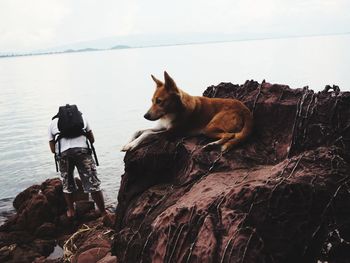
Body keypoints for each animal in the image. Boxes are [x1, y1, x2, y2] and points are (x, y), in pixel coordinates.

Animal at [121, 72, 253, 153]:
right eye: (152, 101)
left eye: (159, 101)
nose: (145, 116)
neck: (171, 112)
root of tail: (244, 108)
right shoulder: (161, 127)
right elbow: (139, 131)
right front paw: (127, 143)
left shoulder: (172, 132)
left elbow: (147, 134)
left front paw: (132, 145)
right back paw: (213, 144)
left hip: (209, 127)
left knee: (230, 135)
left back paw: (213, 144)